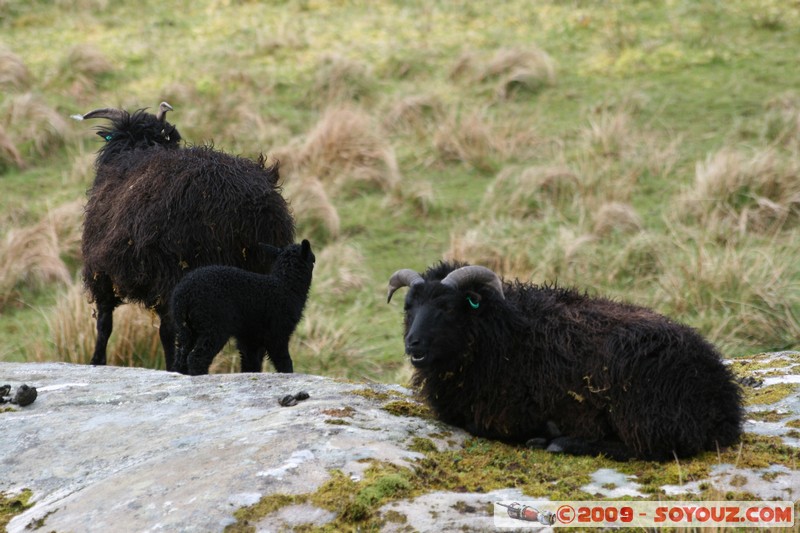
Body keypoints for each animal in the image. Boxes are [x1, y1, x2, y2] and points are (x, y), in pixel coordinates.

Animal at [75, 102, 295, 371]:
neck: (137, 149)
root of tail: (247, 203)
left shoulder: (102, 270)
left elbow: (105, 323)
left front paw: (97, 361)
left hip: (178, 273)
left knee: (172, 331)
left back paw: (176, 367)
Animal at [171, 239, 315, 375]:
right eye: (313, 260)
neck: (287, 286)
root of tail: (184, 295)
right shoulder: (278, 332)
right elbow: (284, 361)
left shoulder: (250, 338)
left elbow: (250, 364)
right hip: (214, 325)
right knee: (197, 358)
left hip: (187, 329)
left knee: (180, 358)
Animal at [386, 261, 743, 461]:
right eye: (409, 307)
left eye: (447, 307)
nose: (412, 342)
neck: (501, 331)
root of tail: (723, 398)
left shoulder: (504, 412)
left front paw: (544, 432)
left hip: (642, 406)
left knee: (652, 449)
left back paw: (561, 442)